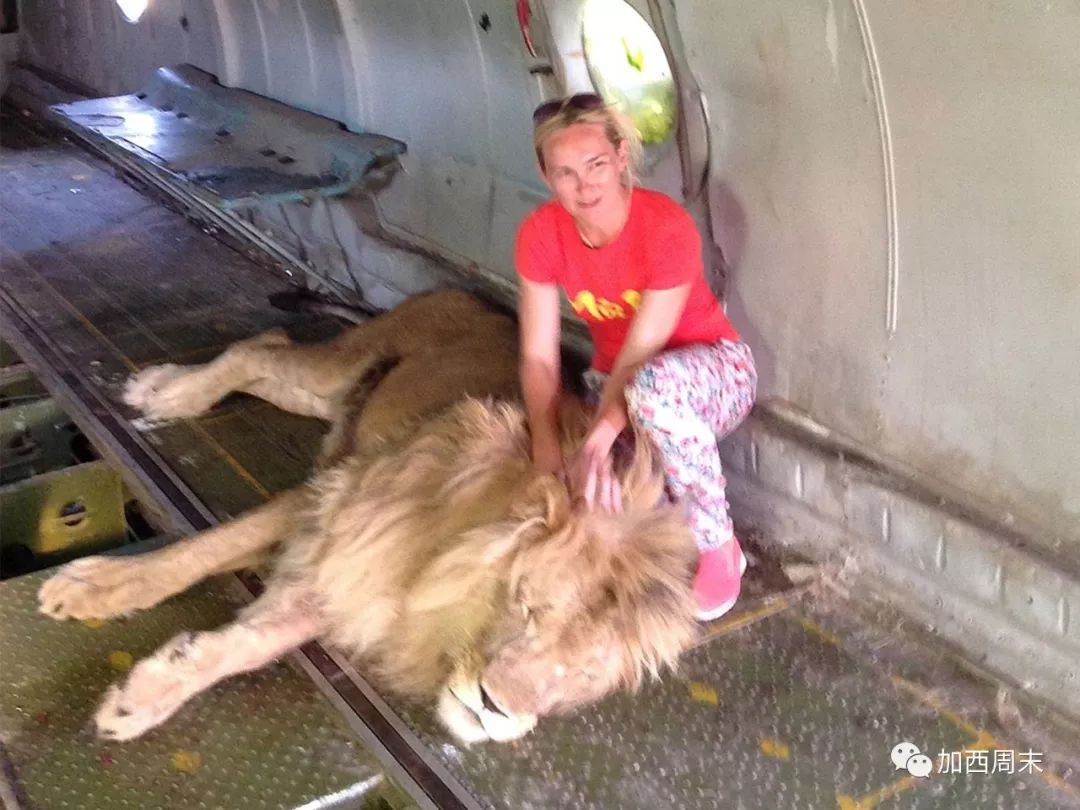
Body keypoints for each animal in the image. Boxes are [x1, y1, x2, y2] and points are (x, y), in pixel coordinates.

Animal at [35, 289, 699, 747]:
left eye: (581, 676)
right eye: (527, 603)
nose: (495, 710)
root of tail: (478, 301)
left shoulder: (358, 580)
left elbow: (254, 643)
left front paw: (145, 696)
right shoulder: (330, 499)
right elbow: (201, 551)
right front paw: (95, 586)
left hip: (328, 398)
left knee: (267, 356)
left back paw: (166, 387)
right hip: (338, 369)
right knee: (260, 344)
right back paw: (168, 393)